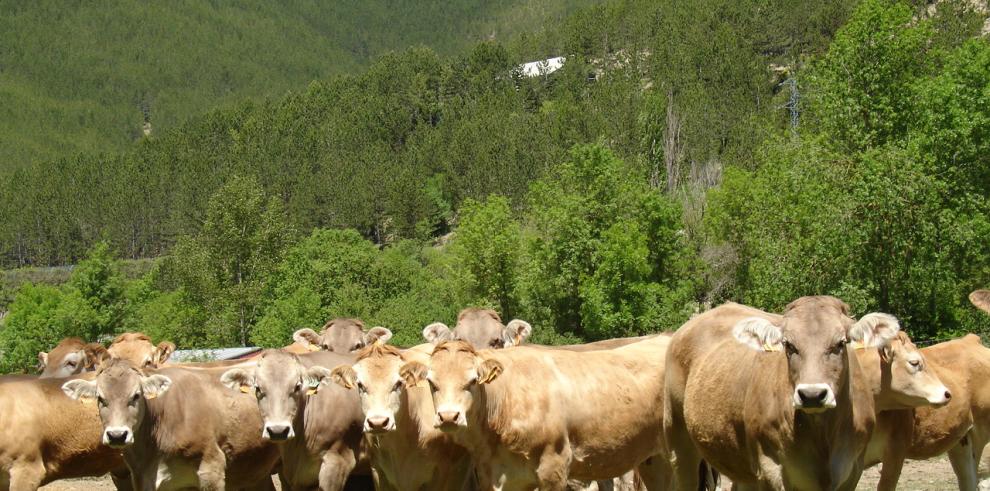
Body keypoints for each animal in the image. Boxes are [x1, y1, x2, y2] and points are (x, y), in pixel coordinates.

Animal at [404, 338, 676, 491]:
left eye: (472, 381)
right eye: (431, 383)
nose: (449, 416)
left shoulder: (554, 468)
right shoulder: (495, 476)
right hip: (654, 460)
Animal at [668, 298, 908, 491]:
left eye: (840, 343)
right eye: (789, 345)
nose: (812, 394)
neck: (822, 435)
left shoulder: (852, 470)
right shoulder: (771, 470)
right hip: (681, 447)